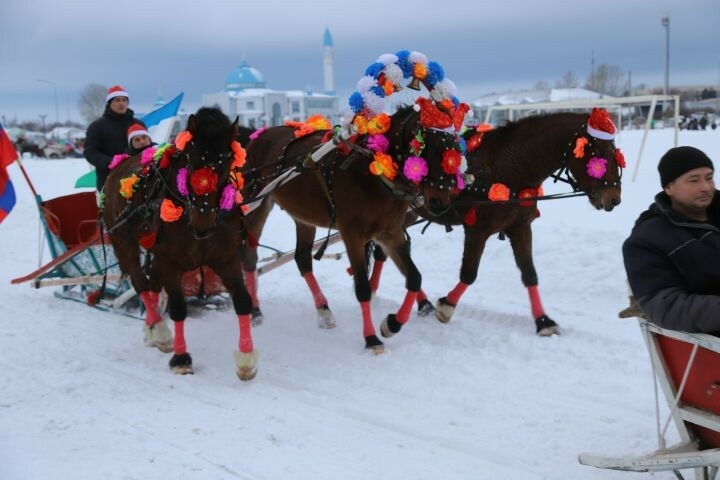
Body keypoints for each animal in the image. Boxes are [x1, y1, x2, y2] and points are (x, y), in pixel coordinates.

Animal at [101, 107, 258, 380]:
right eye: (191, 161)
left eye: (226, 163)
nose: (202, 223)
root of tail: (119, 165)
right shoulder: (170, 262)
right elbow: (177, 308)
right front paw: (181, 358)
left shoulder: (226, 260)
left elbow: (242, 301)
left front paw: (246, 359)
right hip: (123, 241)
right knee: (140, 282)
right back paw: (159, 329)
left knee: (152, 281)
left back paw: (152, 330)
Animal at [240, 105, 466, 352]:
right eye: (429, 148)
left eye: (456, 149)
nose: (440, 204)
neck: (373, 174)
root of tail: (256, 137)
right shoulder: (353, 235)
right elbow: (363, 288)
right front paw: (371, 338)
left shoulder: (390, 233)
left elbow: (414, 277)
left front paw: (392, 323)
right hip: (256, 205)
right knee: (249, 256)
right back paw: (255, 310)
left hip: (304, 217)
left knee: (302, 259)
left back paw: (323, 311)